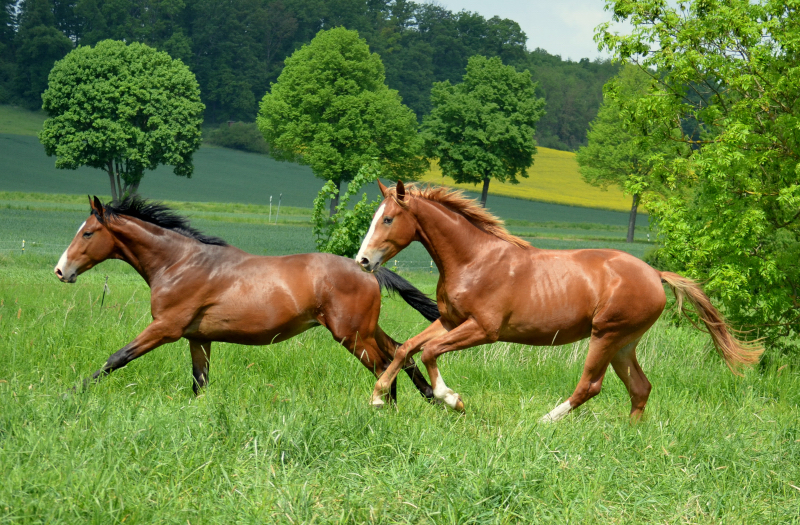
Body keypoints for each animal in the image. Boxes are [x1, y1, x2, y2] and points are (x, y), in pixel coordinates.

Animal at [54, 196, 444, 402]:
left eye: (88, 233)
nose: (61, 271)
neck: (178, 263)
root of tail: (368, 269)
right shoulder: (198, 337)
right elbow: (200, 382)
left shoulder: (165, 328)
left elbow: (117, 358)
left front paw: (70, 392)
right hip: (366, 329)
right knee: (400, 353)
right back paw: (428, 398)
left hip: (352, 335)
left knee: (384, 366)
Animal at [356, 182, 764, 420]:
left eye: (388, 219)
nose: (363, 261)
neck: (475, 259)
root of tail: (655, 275)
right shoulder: (451, 320)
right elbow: (406, 347)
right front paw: (377, 397)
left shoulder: (483, 330)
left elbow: (429, 352)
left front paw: (452, 399)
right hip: (624, 343)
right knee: (640, 388)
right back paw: (631, 436)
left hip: (606, 336)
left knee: (590, 387)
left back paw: (545, 421)